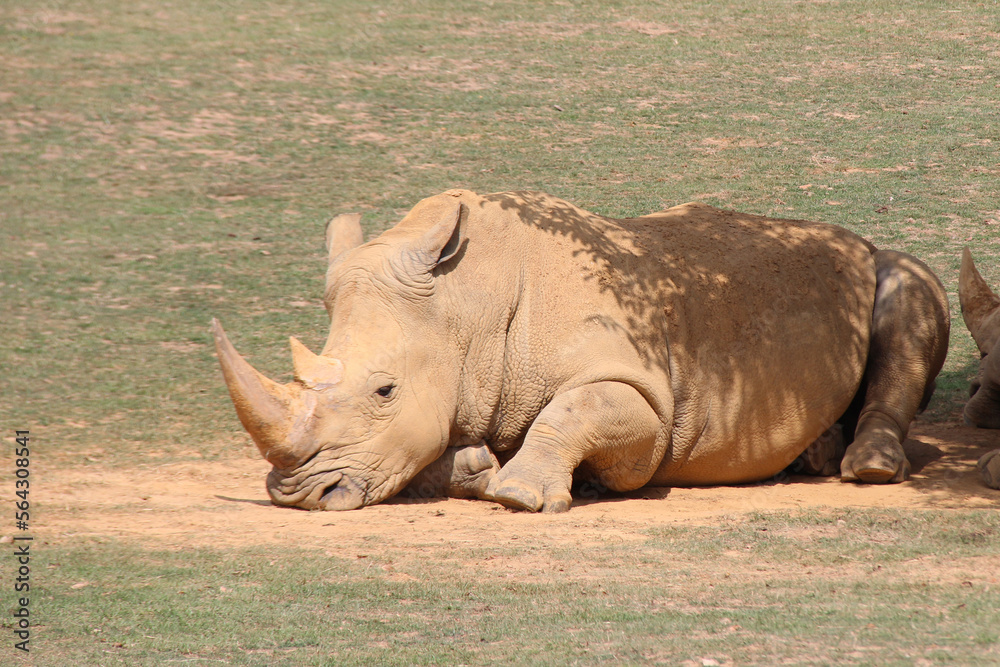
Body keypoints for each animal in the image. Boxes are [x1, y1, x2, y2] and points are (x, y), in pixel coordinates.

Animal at [212, 189, 951, 512]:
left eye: (384, 390)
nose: (299, 494)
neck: (466, 305)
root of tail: (848, 235)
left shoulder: (644, 395)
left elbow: (576, 412)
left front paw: (517, 494)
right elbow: (432, 448)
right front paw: (476, 468)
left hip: (883, 259)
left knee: (908, 290)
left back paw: (867, 468)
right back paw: (815, 454)